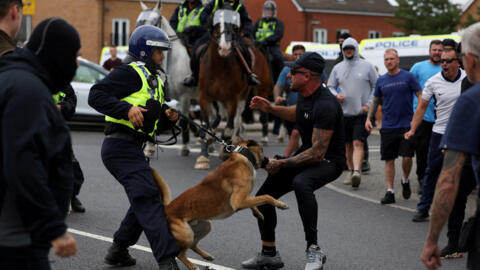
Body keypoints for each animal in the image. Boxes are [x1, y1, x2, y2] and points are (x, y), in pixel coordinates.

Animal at [153, 139, 288, 270]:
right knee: (180, 253)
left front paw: (258, 213)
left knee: (192, 245)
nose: (271, 160)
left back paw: (206, 255)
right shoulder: (238, 201)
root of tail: (167, 208)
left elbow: (255, 201)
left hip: (205, 226)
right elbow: (266, 196)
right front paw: (280, 204)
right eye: (262, 150)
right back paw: (192, 266)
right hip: (187, 234)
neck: (242, 157)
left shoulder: (243, 199)